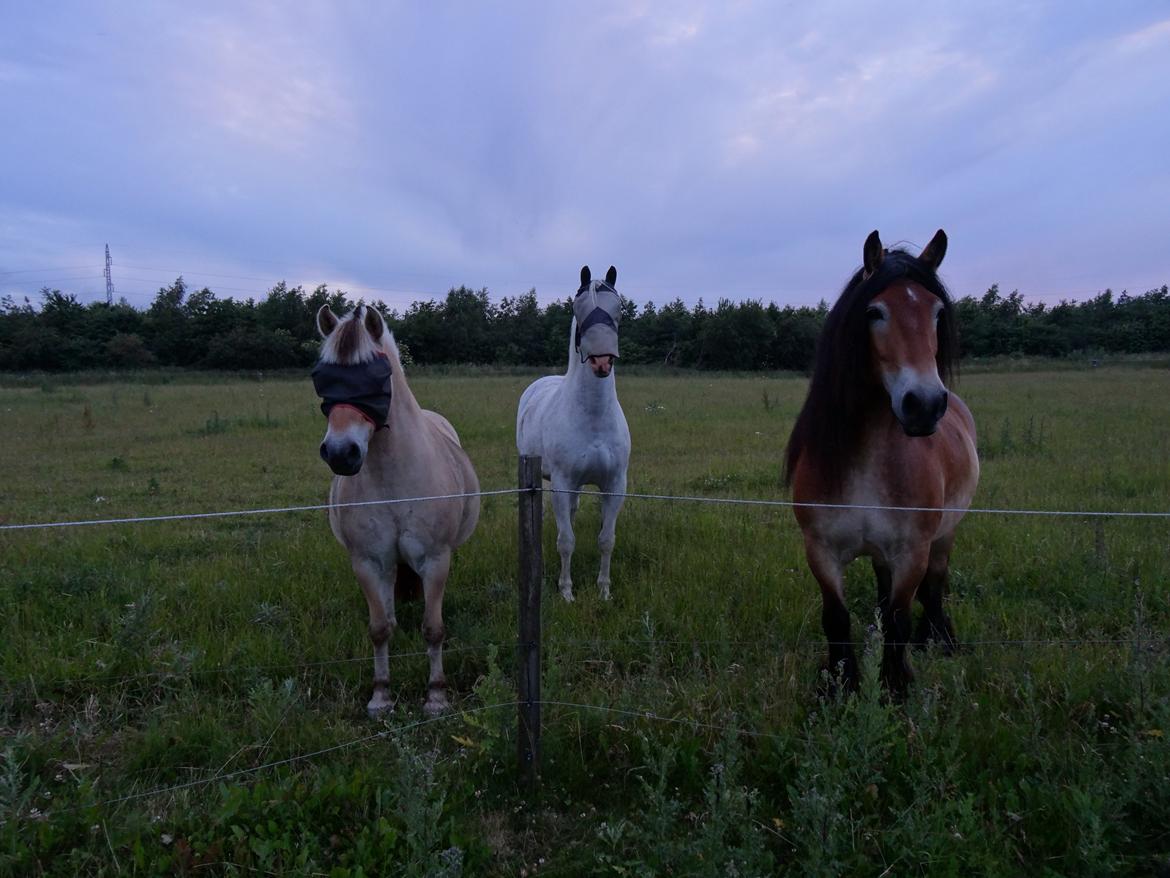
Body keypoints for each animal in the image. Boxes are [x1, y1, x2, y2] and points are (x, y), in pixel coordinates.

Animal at [313, 302, 482, 716]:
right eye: (322, 378)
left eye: (377, 377)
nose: (341, 453)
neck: (393, 481)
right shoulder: (368, 562)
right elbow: (378, 629)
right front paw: (381, 694)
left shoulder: (436, 559)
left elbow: (433, 628)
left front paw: (436, 695)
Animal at [517, 264, 631, 604]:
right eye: (578, 309)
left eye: (618, 308)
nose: (601, 361)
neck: (593, 419)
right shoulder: (562, 482)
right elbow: (566, 540)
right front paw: (566, 591)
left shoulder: (615, 485)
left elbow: (606, 539)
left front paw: (604, 589)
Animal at [786, 230, 978, 697]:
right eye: (874, 312)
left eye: (937, 312)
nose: (925, 404)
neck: (865, 464)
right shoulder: (821, 551)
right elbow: (836, 618)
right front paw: (841, 685)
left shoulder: (912, 552)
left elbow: (899, 619)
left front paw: (895, 688)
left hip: (944, 535)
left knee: (935, 587)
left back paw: (939, 639)